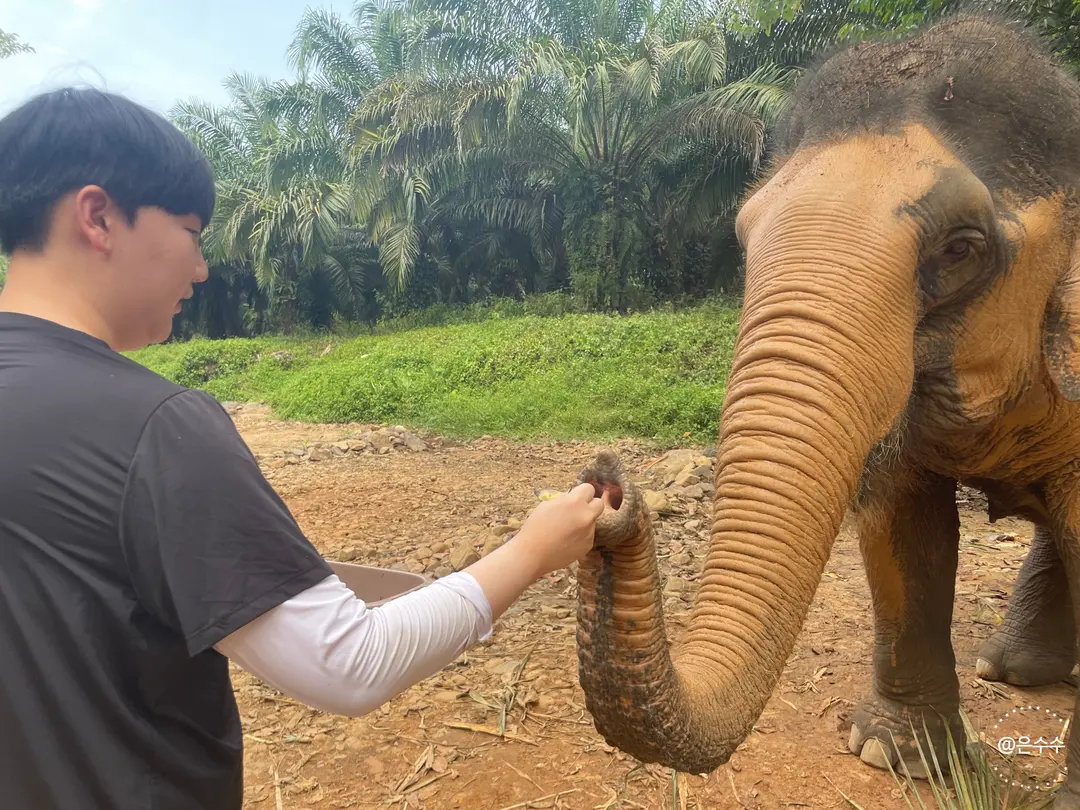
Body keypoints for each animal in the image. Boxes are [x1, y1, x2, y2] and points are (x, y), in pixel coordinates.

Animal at [571, 13, 1080, 807]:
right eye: (744, 236)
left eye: (962, 248)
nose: (608, 490)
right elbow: (900, 525)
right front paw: (890, 756)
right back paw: (1008, 669)